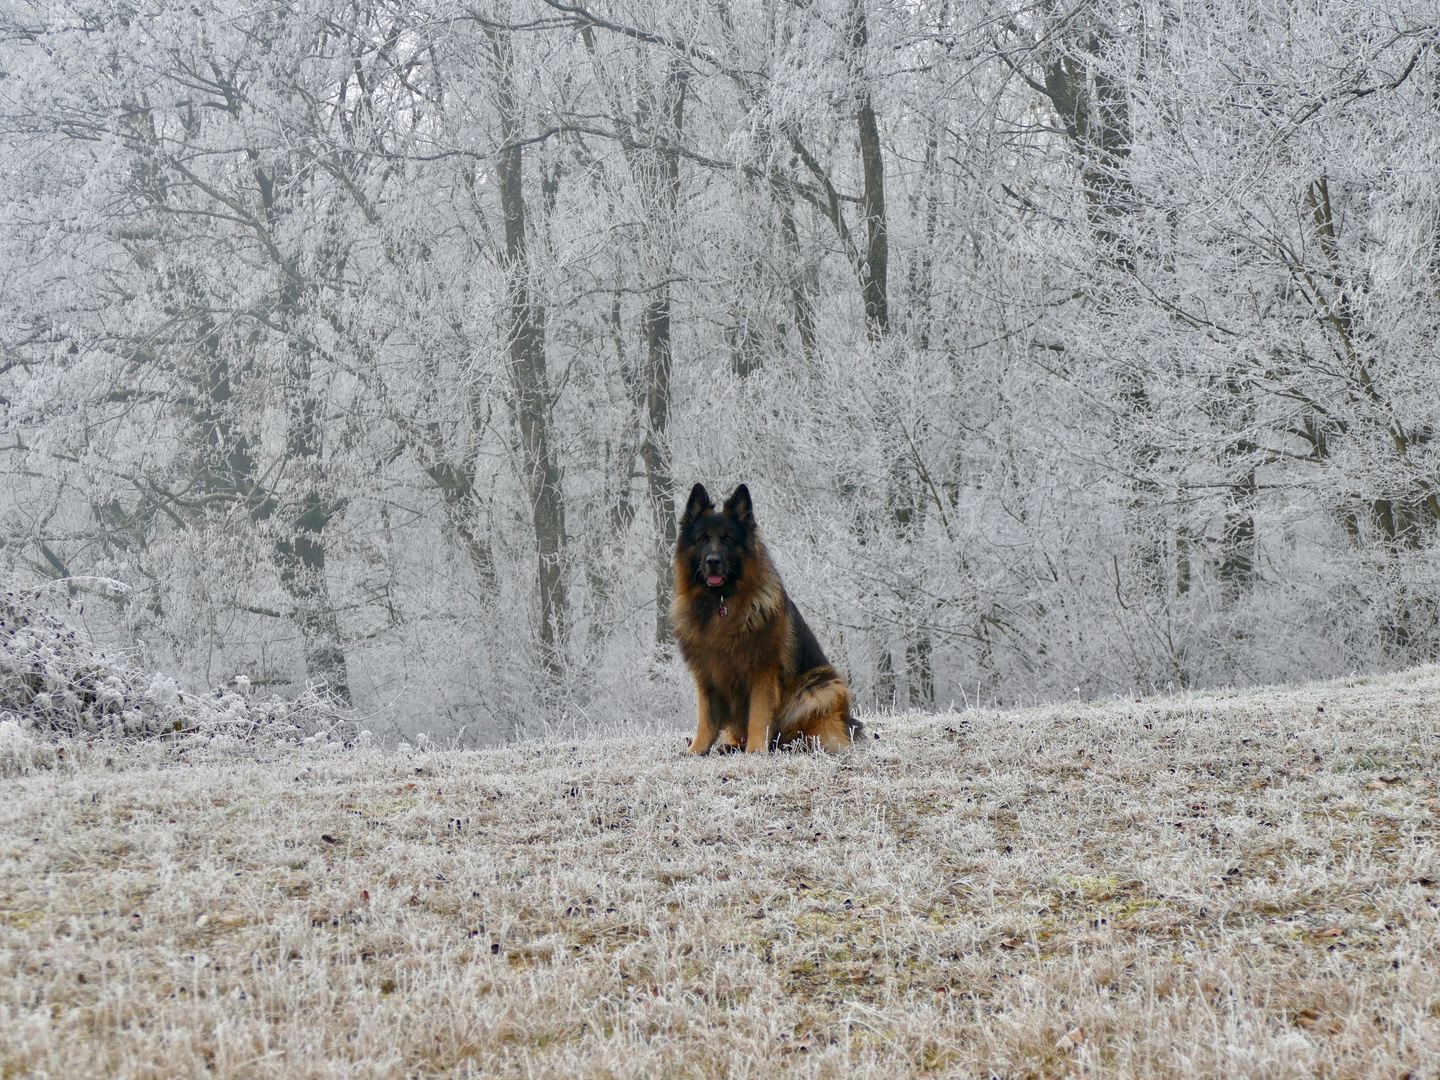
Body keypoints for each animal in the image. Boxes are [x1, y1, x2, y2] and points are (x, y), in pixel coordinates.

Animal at [671, 486, 858, 754]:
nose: (713, 561)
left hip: (819, 687)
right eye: (702, 539)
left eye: (728, 539)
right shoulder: (707, 673)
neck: (722, 602)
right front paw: (696, 750)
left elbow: (758, 716)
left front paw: (756, 751)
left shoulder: (762, 672)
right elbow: (706, 718)